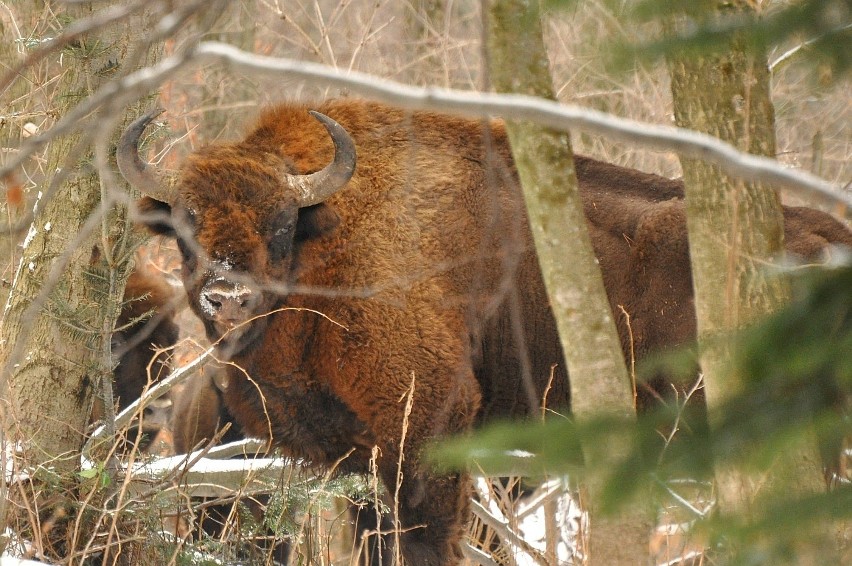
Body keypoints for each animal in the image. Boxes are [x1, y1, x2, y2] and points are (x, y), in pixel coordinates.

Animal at [118, 100, 852, 564]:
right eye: (184, 226)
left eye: (279, 224)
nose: (228, 296)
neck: (329, 241)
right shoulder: (362, 460)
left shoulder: (431, 433)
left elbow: (424, 542)